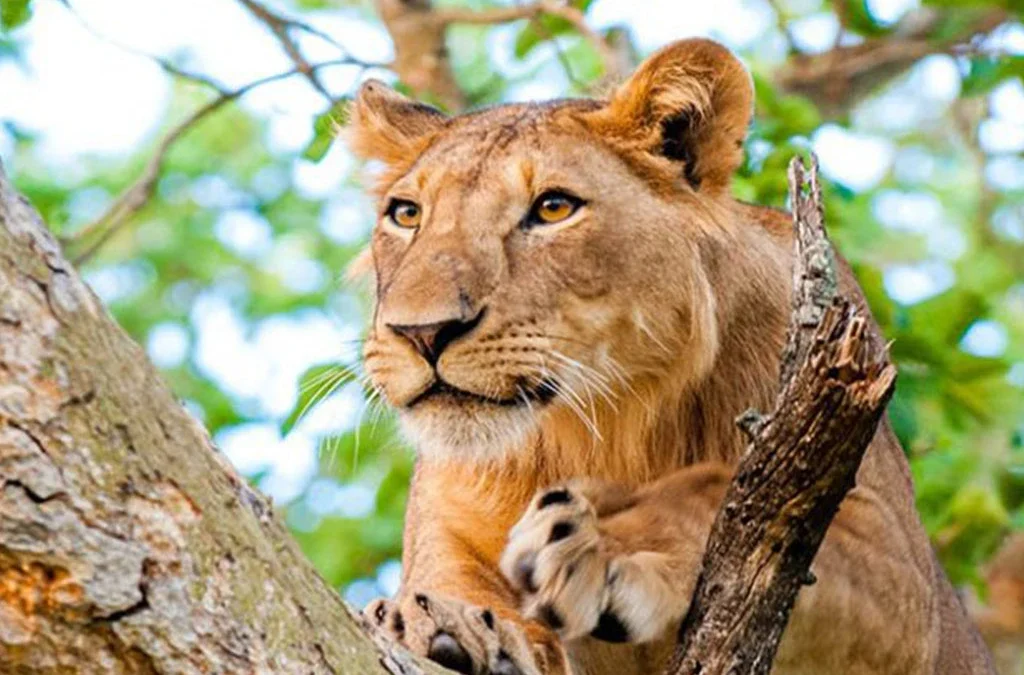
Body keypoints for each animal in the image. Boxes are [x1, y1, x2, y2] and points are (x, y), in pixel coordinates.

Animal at [349, 38, 995, 674]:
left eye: (554, 207)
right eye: (406, 214)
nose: (422, 333)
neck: (600, 424)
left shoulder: (899, 572)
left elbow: (719, 494)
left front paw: (608, 544)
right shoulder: (448, 523)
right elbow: (447, 580)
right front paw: (443, 625)